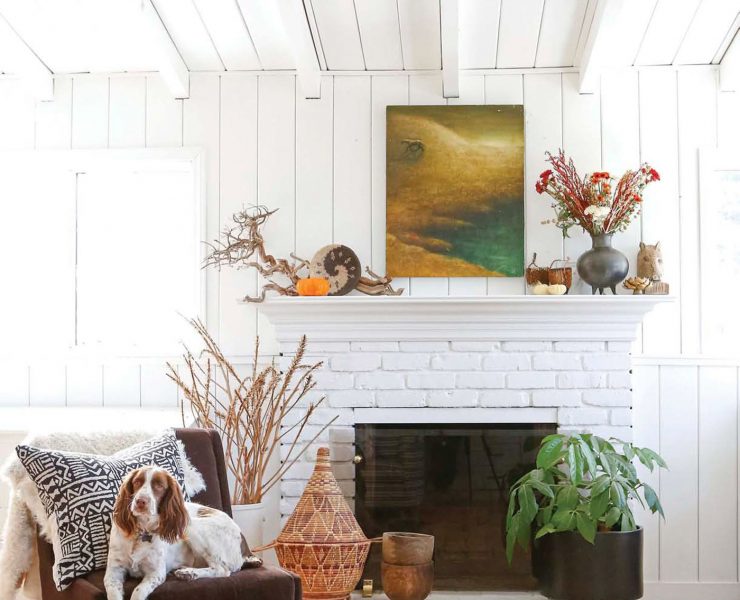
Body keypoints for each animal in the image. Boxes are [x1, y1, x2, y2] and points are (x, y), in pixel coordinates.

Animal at [105, 464, 262, 600]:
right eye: (137, 482)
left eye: (159, 486)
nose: (140, 502)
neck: (142, 531)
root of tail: (245, 546)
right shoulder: (113, 571)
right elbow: (113, 593)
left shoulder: (156, 573)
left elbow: (138, 591)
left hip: (191, 527)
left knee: (222, 569)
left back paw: (188, 573)